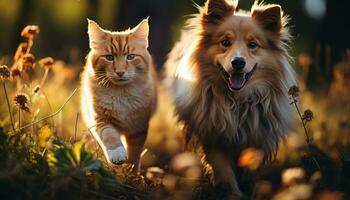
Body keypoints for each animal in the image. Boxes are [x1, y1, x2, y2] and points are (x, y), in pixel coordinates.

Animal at [80, 18, 157, 170]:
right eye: (109, 57)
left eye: (130, 57)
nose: (120, 72)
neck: (121, 94)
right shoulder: (101, 120)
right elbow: (110, 136)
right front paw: (117, 154)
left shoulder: (139, 127)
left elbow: (134, 154)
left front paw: (131, 170)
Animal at [165, 0, 296, 197]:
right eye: (225, 42)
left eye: (253, 45)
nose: (238, 62)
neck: (238, 100)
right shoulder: (213, 135)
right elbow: (223, 168)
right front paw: (232, 192)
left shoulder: (257, 137)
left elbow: (248, 166)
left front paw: (247, 186)